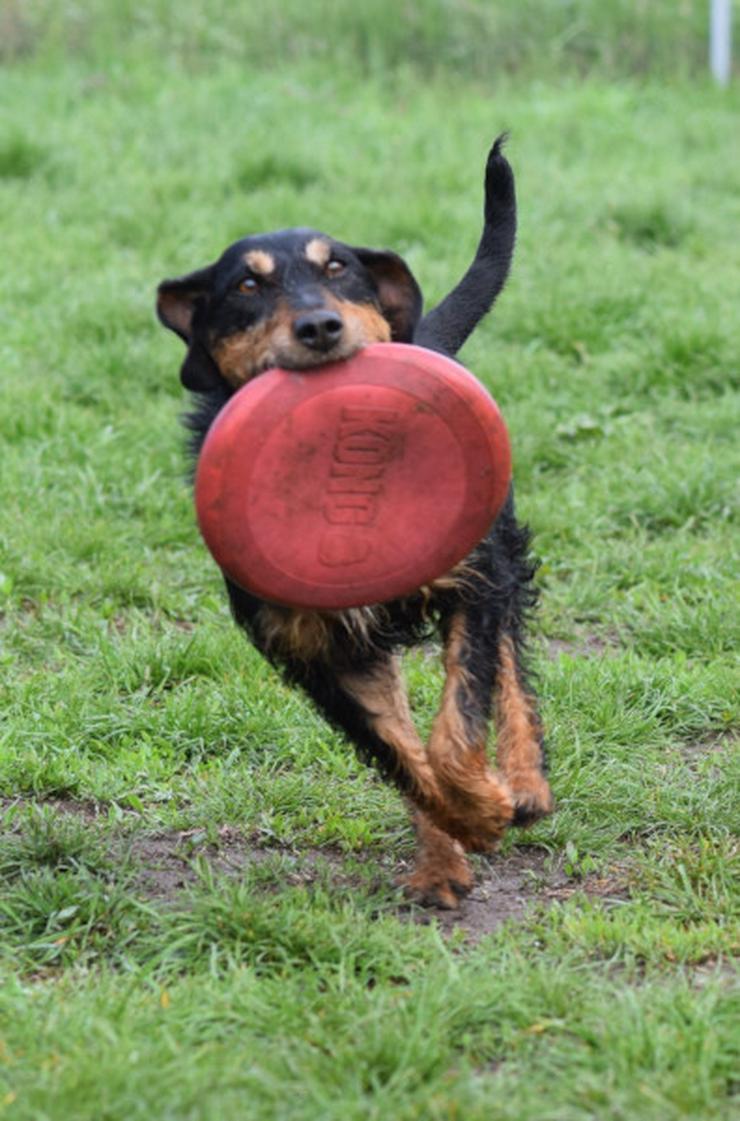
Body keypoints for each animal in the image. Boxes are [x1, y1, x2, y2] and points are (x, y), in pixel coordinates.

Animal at [155, 137, 551, 910]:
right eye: (244, 287)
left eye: (338, 267)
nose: (318, 327)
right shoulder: (315, 653)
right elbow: (400, 757)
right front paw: (458, 830)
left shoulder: (470, 579)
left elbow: (458, 719)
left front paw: (484, 804)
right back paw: (441, 860)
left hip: (497, 544)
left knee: (511, 662)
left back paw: (524, 782)